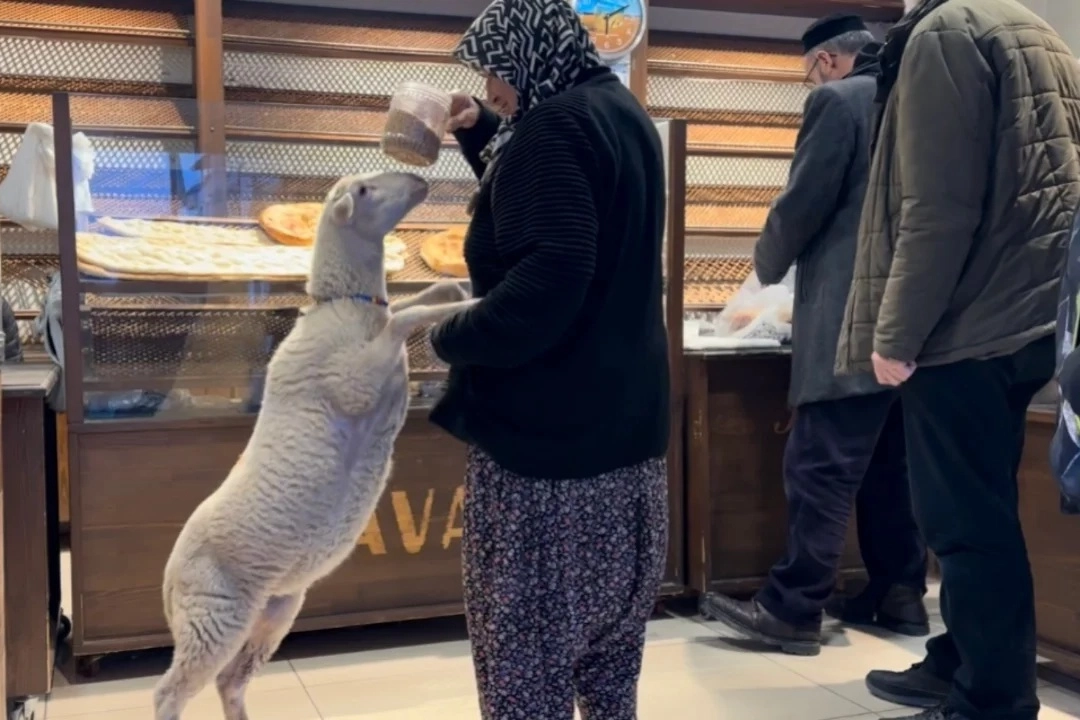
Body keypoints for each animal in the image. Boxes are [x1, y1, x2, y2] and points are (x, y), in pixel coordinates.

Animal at [154, 172, 476, 720]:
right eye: (364, 191)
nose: (419, 180)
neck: (347, 305)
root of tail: (169, 581)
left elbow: (415, 304)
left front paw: (461, 286)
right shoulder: (355, 380)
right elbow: (404, 320)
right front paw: (469, 302)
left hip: (275, 612)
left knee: (231, 682)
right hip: (214, 618)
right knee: (170, 691)